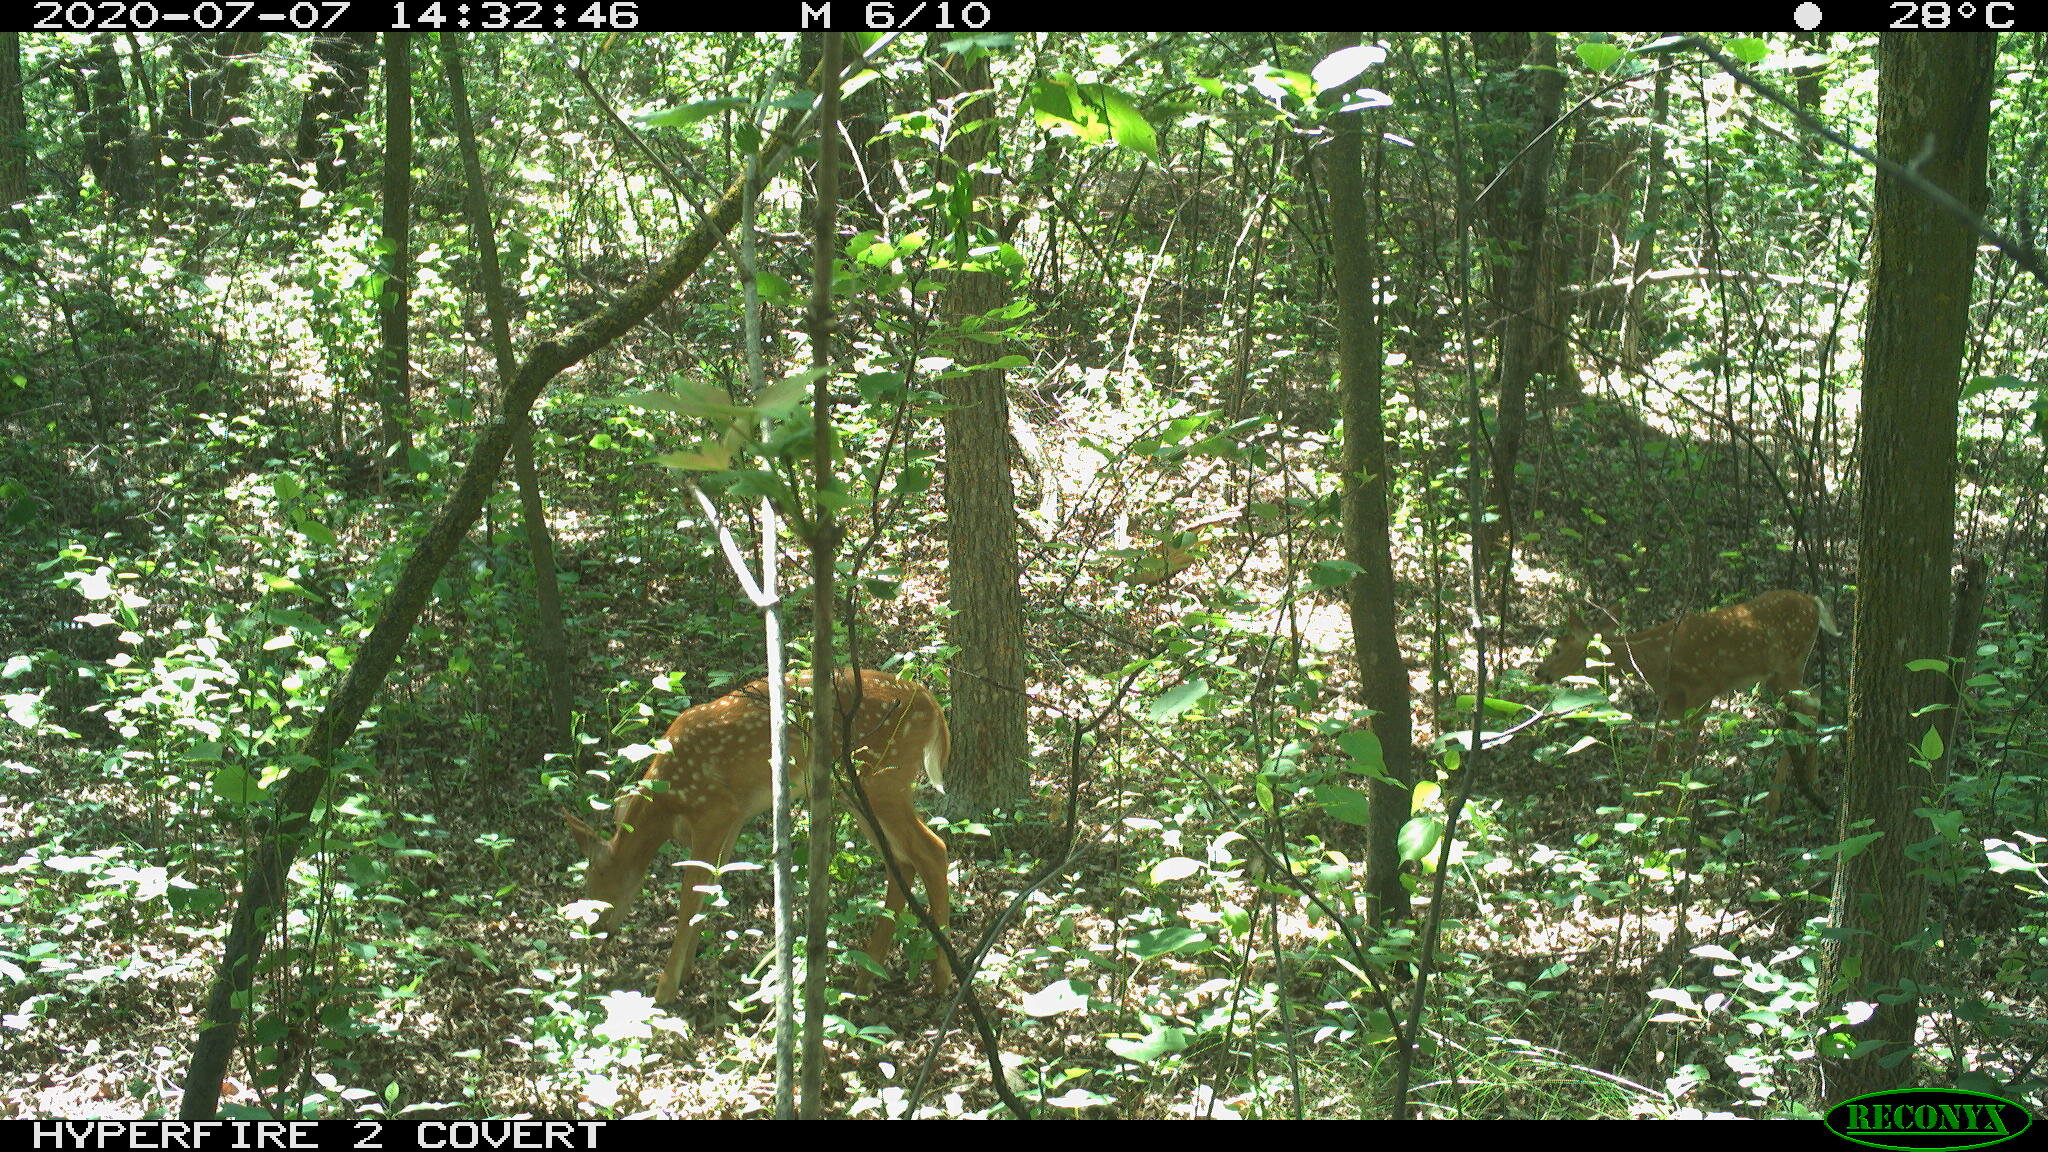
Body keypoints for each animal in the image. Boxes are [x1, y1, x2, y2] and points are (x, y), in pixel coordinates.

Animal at [564, 667, 952, 1003]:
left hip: (883, 778)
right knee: (900, 860)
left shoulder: (713, 810)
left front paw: (665, 990)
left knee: (933, 850)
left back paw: (942, 979)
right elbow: (710, 888)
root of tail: (930, 702)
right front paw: (686, 972)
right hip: (855, 786)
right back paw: (865, 978)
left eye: (595, 877)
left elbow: (691, 894)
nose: (595, 931)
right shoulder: (735, 817)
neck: (667, 802)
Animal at [1533, 589, 1841, 819]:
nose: (1539, 672)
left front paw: (1673, 811)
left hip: (1788, 663)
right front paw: (1644, 810)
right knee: (1809, 705)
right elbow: (1661, 750)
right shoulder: (1672, 697)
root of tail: (1813, 602)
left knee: (1809, 703)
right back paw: (1810, 789)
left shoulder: (1703, 688)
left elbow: (1686, 751)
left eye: (1557, 648)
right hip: (1777, 674)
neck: (1657, 658)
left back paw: (1777, 803)